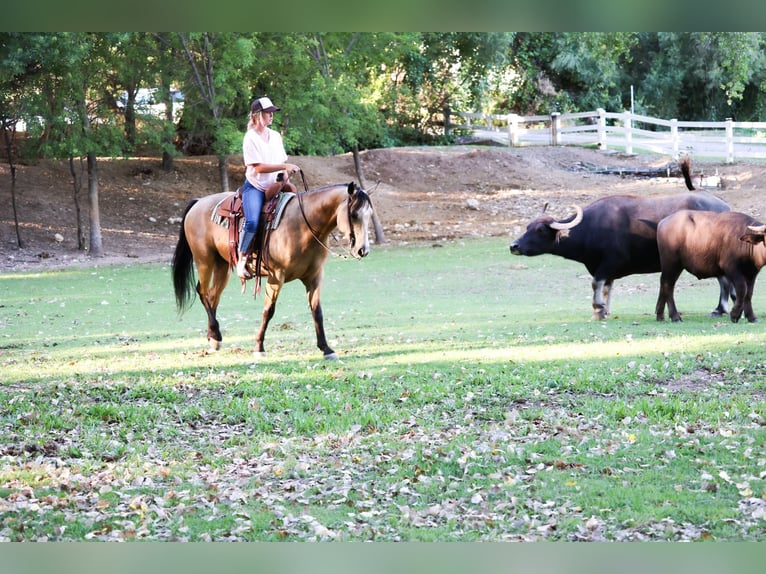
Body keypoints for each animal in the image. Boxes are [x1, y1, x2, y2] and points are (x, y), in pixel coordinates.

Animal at [175, 181, 378, 360]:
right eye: (354, 214)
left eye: (369, 214)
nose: (363, 250)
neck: (303, 225)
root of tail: (198, 202)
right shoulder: (276, 277)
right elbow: (268, 311)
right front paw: (259, 347)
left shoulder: (314, 277)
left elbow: (317, 311)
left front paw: (326, 349)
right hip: (204, 261)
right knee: (202, 292)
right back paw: (216, 336)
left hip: (222, 266)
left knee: (213, 296)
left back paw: (213, 337)